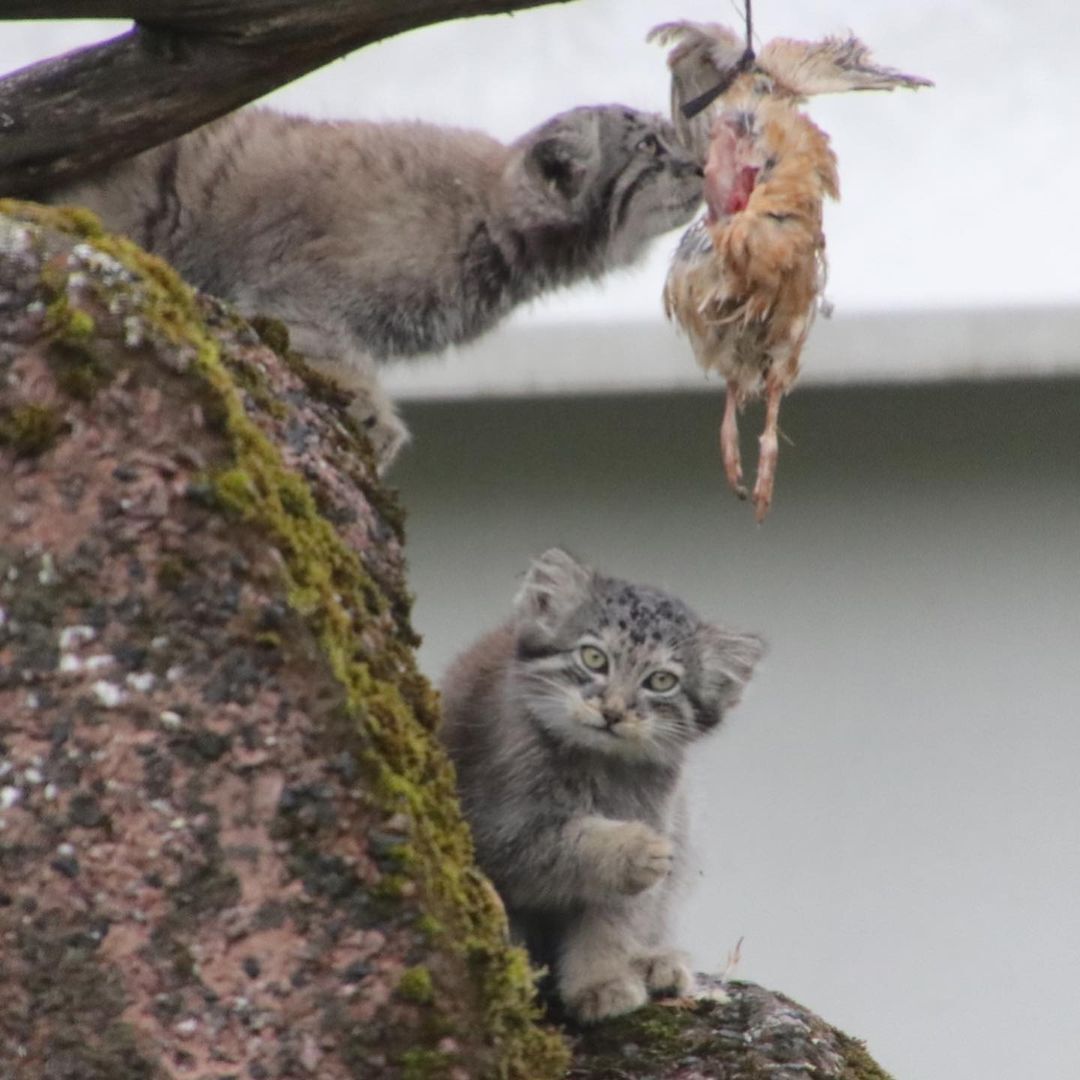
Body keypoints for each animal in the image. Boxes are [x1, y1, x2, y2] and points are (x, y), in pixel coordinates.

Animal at [52, 104, 699, 468]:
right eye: (650, 148)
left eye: (676, 138)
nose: (699, 164)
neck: (486, 213)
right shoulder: (303, 292)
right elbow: (324, 343)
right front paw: (370, 409)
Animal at [434, 548, 764, 1019]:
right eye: (593, 658)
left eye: (661, 681)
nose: (612, 710)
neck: (598, 766)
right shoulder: (497, 832)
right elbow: (570, 847)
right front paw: (631, 848)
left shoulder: (657, 818)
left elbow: (613, 919)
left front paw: (602, 980)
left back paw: (654, 962)